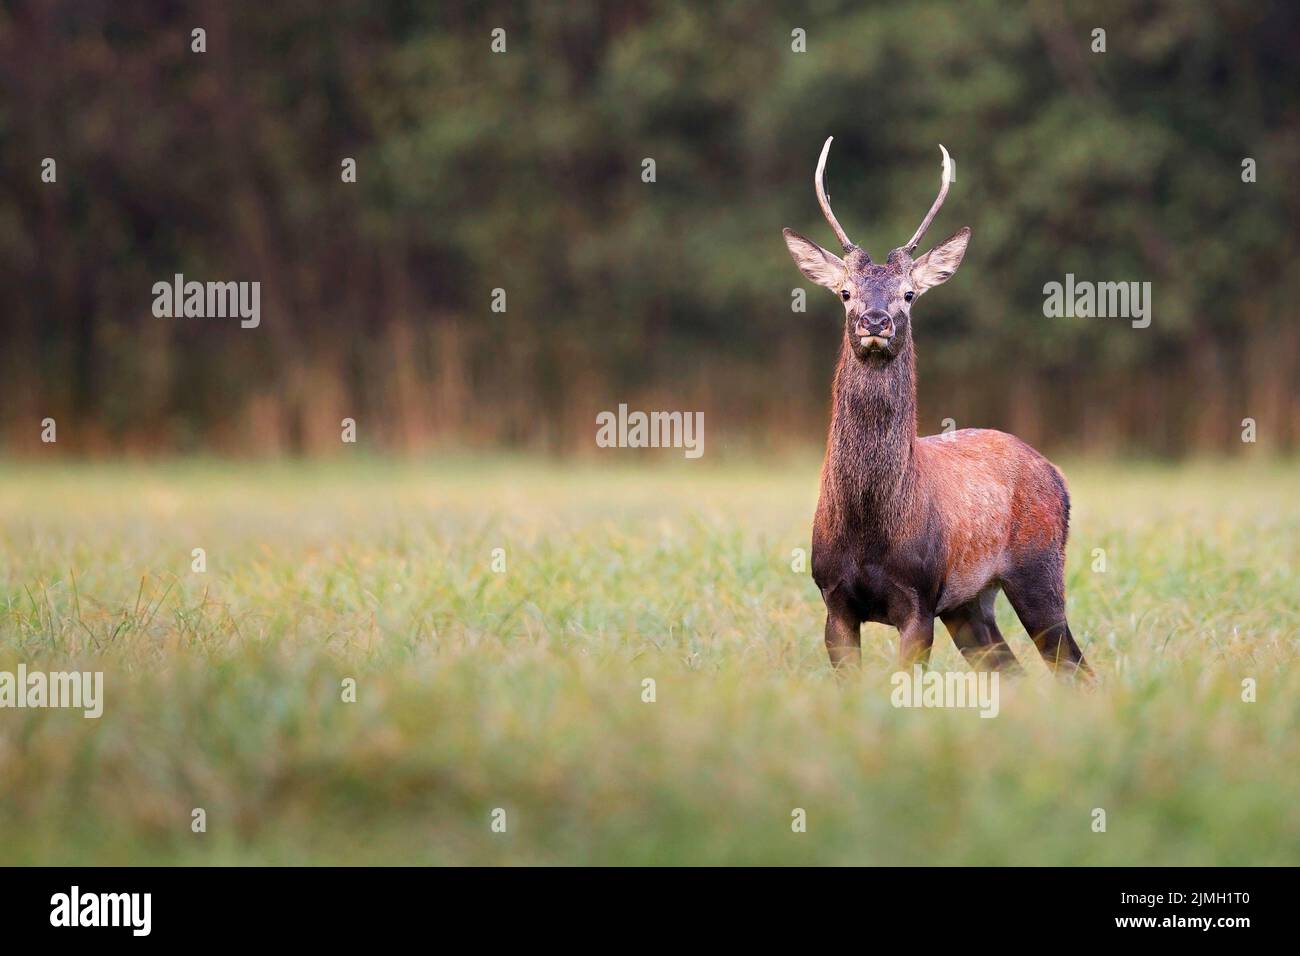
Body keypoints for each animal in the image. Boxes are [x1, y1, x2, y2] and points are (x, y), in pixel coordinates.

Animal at [782, 137, 1092, 680]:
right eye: (845, 292)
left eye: (909, 293)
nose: (875, 321)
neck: (869, 528)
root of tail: (1055, 472)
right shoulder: (833, 601)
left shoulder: (920, 597)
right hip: (970, 603)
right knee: (1010, 668)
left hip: (1038, 567)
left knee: (1075, 666)